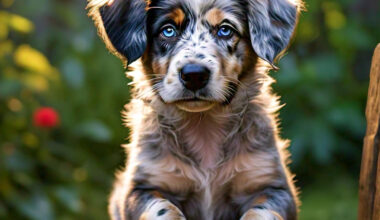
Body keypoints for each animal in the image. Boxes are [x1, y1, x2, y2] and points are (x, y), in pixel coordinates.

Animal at [87, 0, 302, 219]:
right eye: (168, 30)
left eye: (225, 30)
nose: (194, 75)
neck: (203, 124)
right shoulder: (141, 187)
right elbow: (161, 209)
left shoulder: (273, 186)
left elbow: (261, 213)